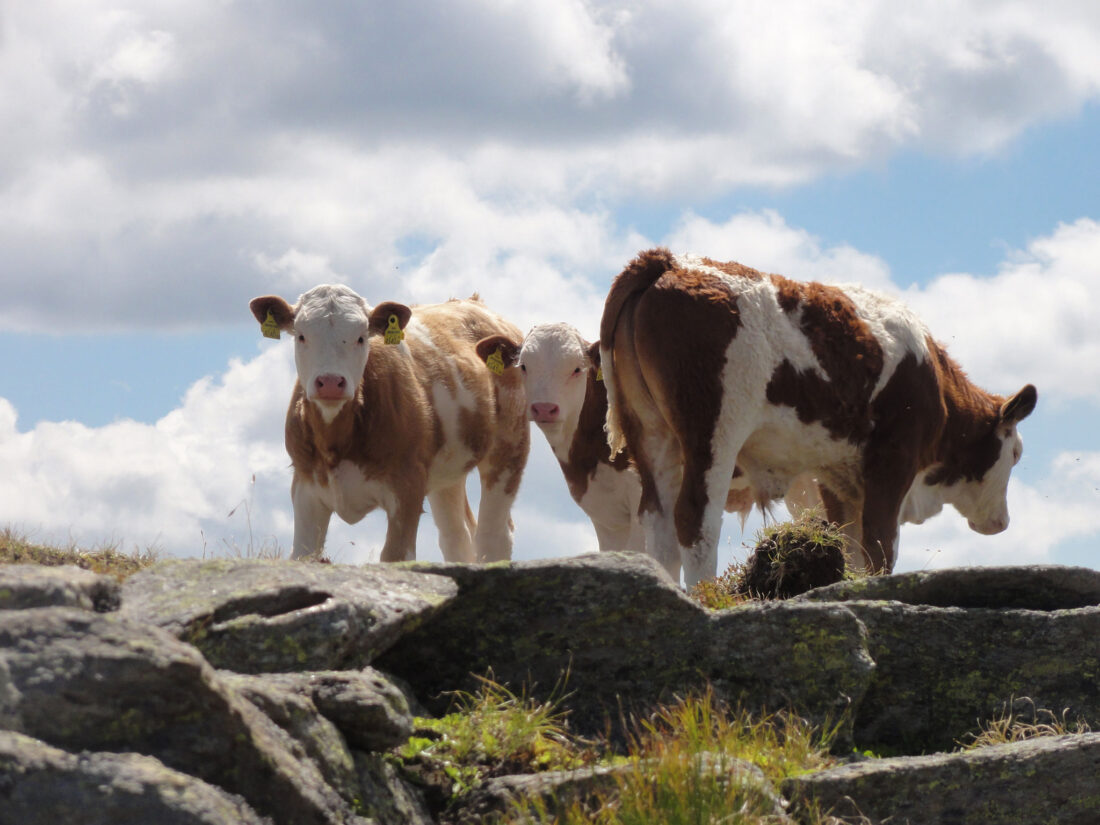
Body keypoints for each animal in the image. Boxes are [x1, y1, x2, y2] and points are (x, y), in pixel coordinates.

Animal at [248, 283, 528, 563]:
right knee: (457, 536)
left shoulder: (407, 486)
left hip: (509, 445)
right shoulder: (305, 485)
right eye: (301, 336)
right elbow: (303, 555)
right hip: (447, 473)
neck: (336, 442)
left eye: (361, 337)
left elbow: (396, 556)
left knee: (494, 535)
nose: (329, 382)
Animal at [602, 247, 1038, 589]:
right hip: (713, 432)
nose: (1001, 521)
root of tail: (667, 261)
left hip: (651, 434)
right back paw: (705, 594)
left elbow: (851, 546)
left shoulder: (838, 476)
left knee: (658, 524)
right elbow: (880, 547)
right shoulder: (893, 462)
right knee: (696, 519)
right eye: (1015, 453)